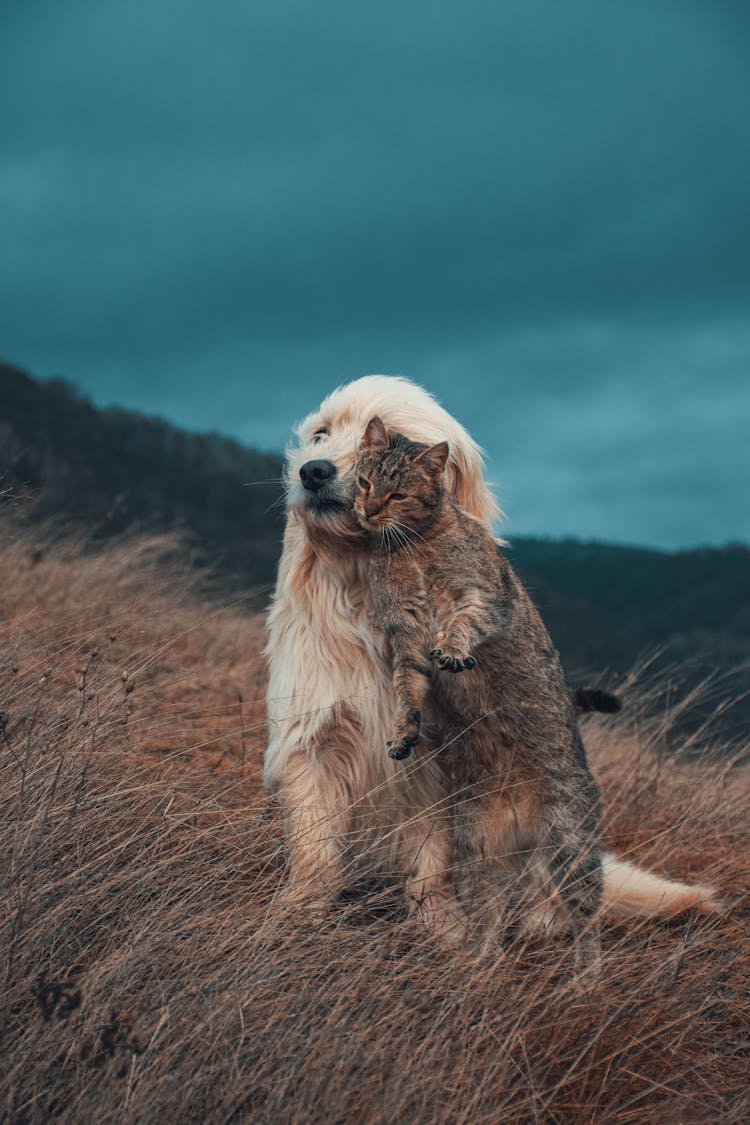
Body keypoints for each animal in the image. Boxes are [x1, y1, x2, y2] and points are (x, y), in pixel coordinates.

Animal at [266, 373, 719, 936]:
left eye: (391, 439)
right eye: (321, 433)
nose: (313, 471)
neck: (364, 582)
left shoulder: (446, 765)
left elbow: (434, 859)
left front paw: (443, 927)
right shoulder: (314, 734)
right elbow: (315, 841)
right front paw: (299, 910)